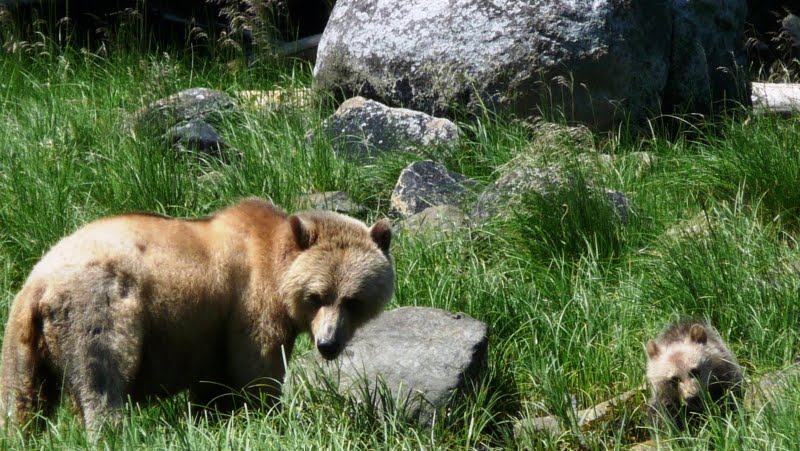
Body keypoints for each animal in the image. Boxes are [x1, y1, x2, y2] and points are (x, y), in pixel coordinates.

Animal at [0, 198, 394, 434]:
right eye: (316, 296)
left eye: (353, 300)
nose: (328, 344)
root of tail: (38, 283)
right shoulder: (249, 305)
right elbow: (258, 368)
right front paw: (268, 415)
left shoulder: (211, 330)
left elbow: (212, 388)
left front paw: (211, 419)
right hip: (98, 307)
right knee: (101, 377)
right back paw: (112, 431)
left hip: (22, 340)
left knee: (22, 401)